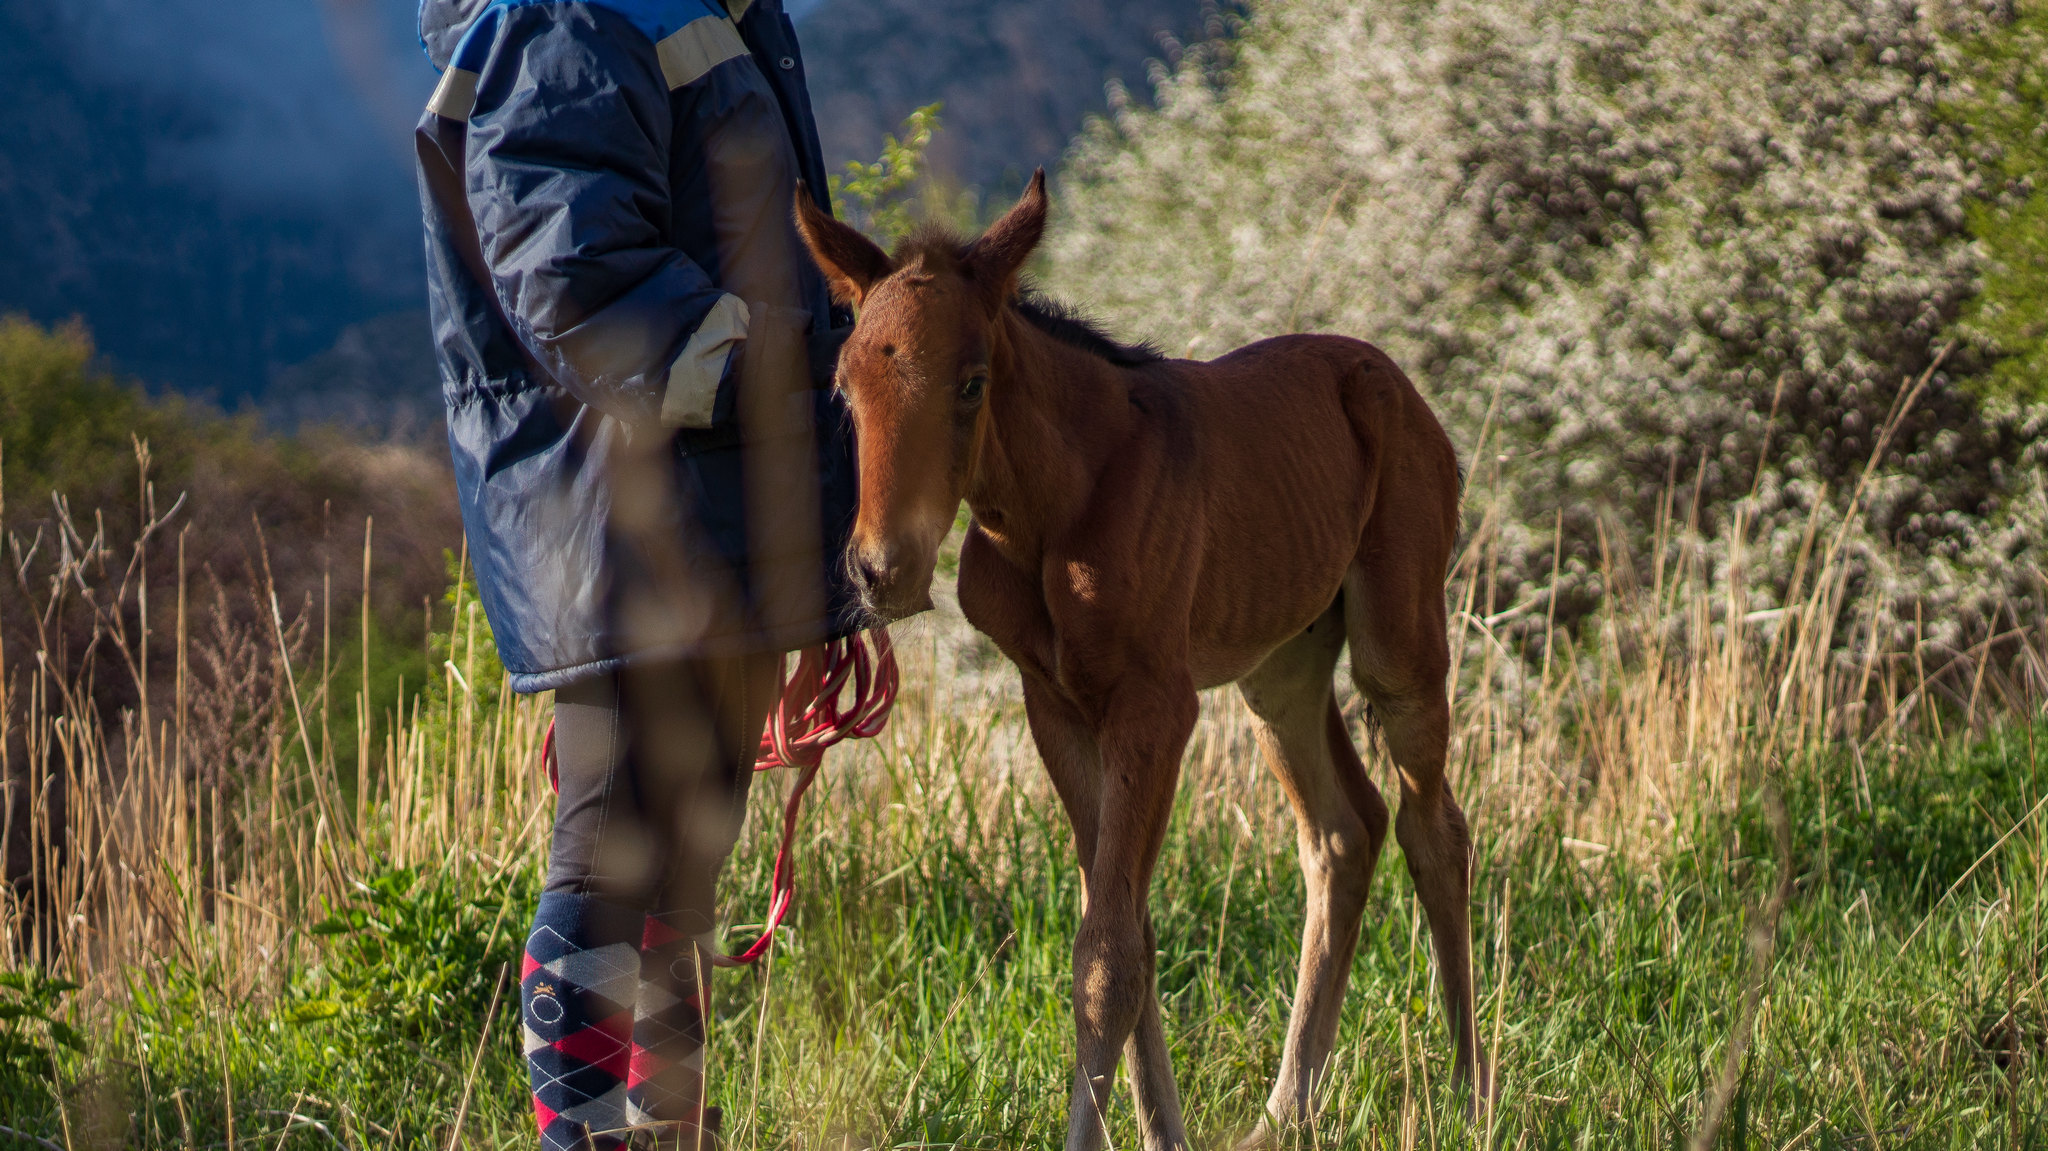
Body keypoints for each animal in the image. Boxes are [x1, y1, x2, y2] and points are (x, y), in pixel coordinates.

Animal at [790, 172, 1482, 1146]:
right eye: (845, 388)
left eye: (972, 382)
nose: (881, 569)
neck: (1054, 507)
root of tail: (1400, 388)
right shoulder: (1057, 705)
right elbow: (1128, 931)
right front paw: (1166, 1131)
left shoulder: (1154, 706)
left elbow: (1108, 952)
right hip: (1282, 670)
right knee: (1345, 832)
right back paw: (1285, 1112)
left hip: (1399, 639)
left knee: (1435, 829)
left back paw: (1471, 1094)